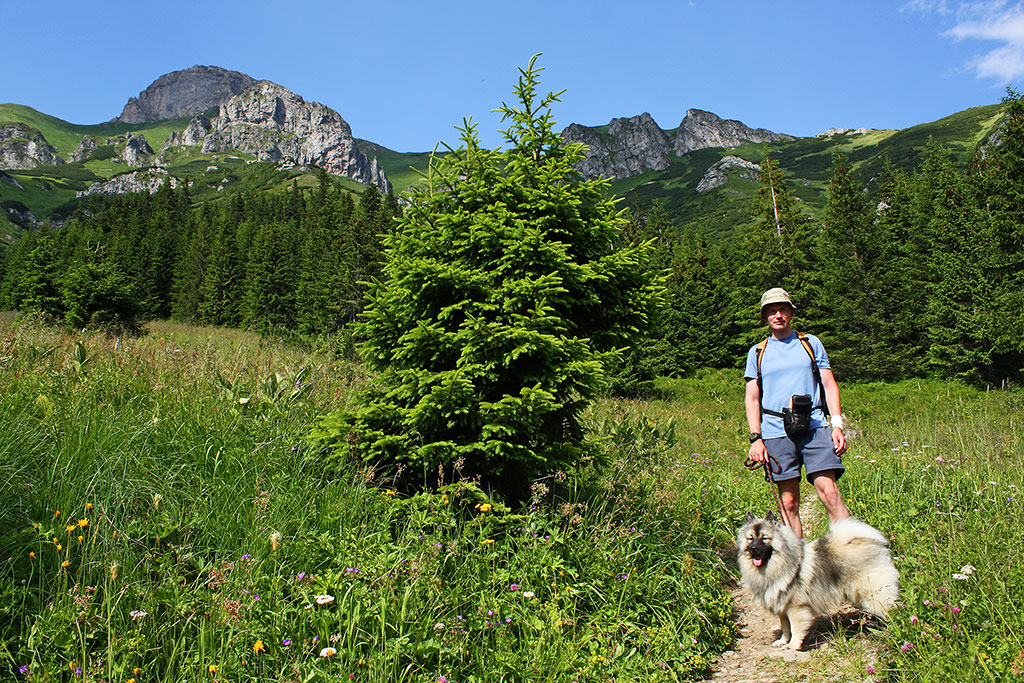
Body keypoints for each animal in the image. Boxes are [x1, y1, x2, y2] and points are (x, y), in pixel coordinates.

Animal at [737, 511, 897, 651]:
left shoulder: (796, 608)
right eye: (750, 538)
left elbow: (795, 628)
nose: (753, 548)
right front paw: (783, 641)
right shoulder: (782, 607)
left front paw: (793, 645)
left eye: (765, 538)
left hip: (874, 594)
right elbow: (785, 627)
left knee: (889, 609)